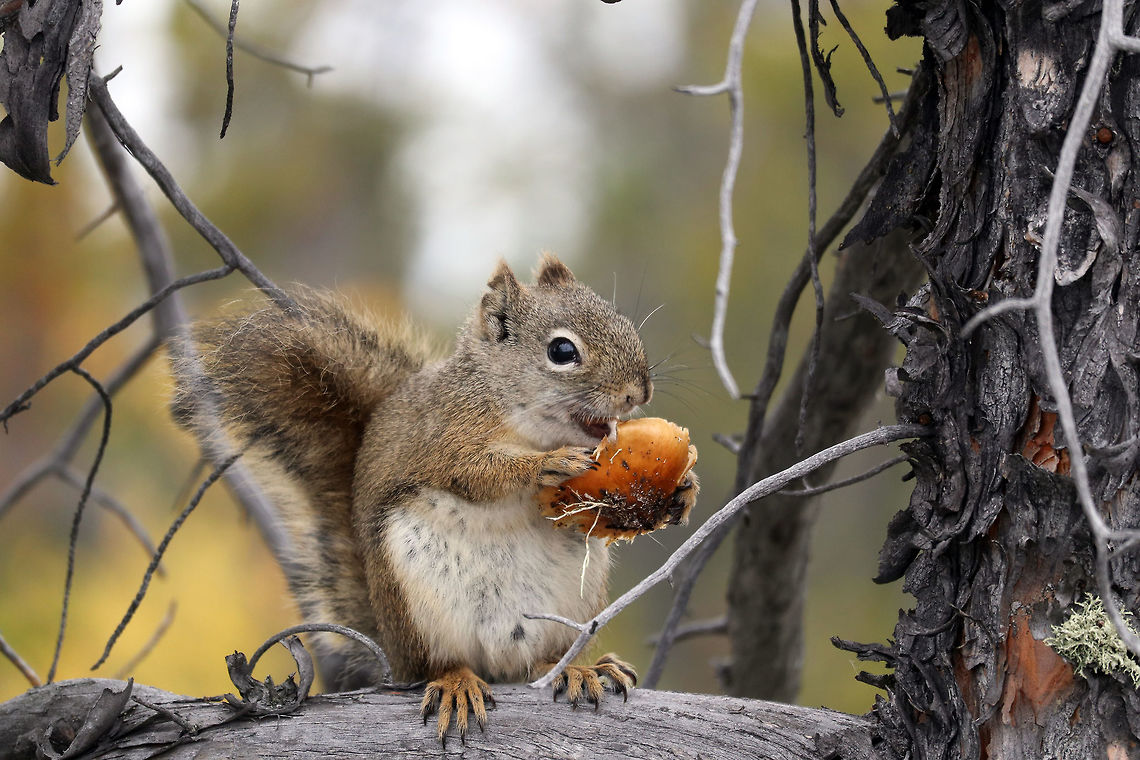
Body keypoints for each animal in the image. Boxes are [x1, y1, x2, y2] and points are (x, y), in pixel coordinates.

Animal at [171, 253, 698, 741]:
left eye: (620, 320)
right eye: (562, 350)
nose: (638, 392)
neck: (504, 401)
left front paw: (684, 491)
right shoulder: (443, 438)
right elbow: (476, 473)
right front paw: (548, 465)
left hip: (573, 607)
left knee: (542, 661)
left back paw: (578, 667)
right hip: (416, 605)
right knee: (439, 663)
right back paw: (456, 683)